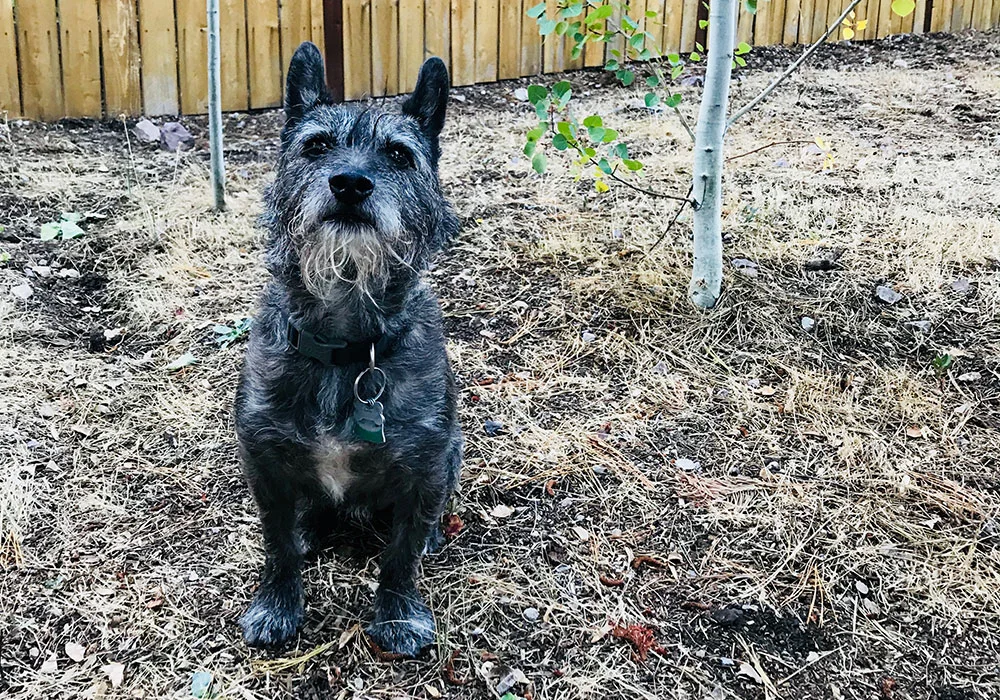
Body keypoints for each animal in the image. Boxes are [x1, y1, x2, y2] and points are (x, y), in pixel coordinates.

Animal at [235, 42, 464, 656]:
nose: (351, 184)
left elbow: (400, 553)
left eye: (399, 155)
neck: (345, 343)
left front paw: (400, 614)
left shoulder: (425, 467)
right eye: (316, 145)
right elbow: (277, 544)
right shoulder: (264, 462)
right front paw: (277, 604)